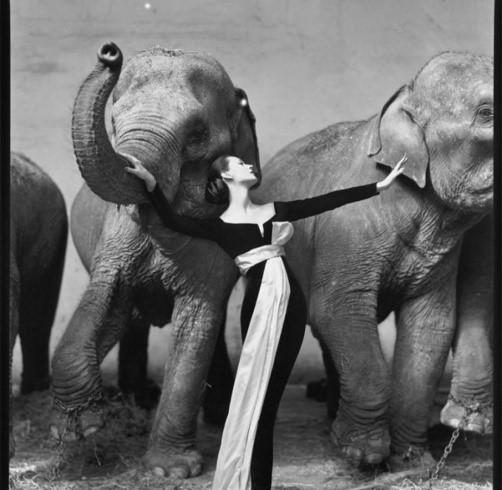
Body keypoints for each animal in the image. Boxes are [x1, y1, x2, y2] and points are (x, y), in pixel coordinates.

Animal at [51, 43, 258, 478]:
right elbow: (106, 296)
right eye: (113, 121)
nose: (109, 53)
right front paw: (81, 428)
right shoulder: (116, 236)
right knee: (132, 320)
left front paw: (170, 472)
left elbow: (198, 320)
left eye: (196, 133)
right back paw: (138, 400)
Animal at [249, 50, 492, 468]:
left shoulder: (443, 254)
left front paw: (412, 460)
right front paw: (361, 454)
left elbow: (430, 327)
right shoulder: (348, 229)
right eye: (488, 113)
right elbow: (337, 310)